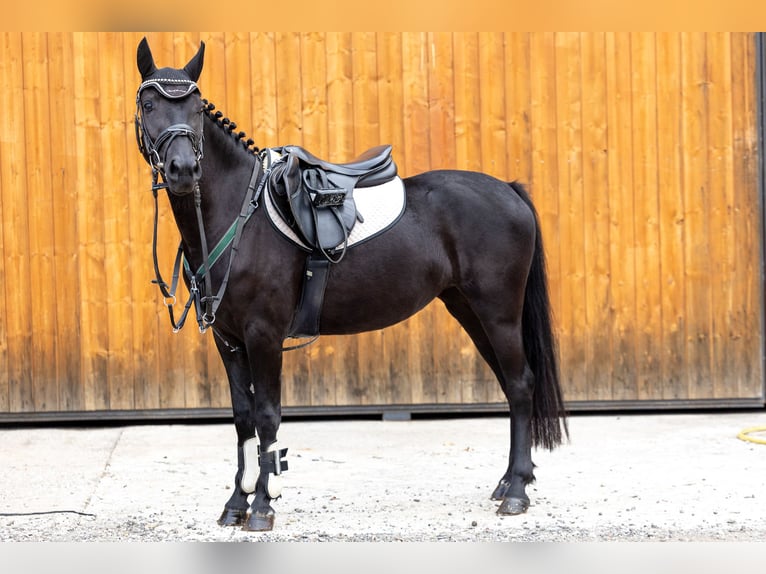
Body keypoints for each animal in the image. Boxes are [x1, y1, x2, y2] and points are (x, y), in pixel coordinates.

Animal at [135, 38, 568, 532]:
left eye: (194, 105)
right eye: (149, 105)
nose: (183, 169)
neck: (240, 216)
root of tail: (509, 189)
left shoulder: (263, 335)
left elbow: (266, 417)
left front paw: (263, 505)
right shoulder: (228, 340)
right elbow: (243, 417)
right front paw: (235, 503)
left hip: (499, 312)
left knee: (520, 384)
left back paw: (516, 493)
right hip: (470, 311)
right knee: (511, 385)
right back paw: (511, 481)